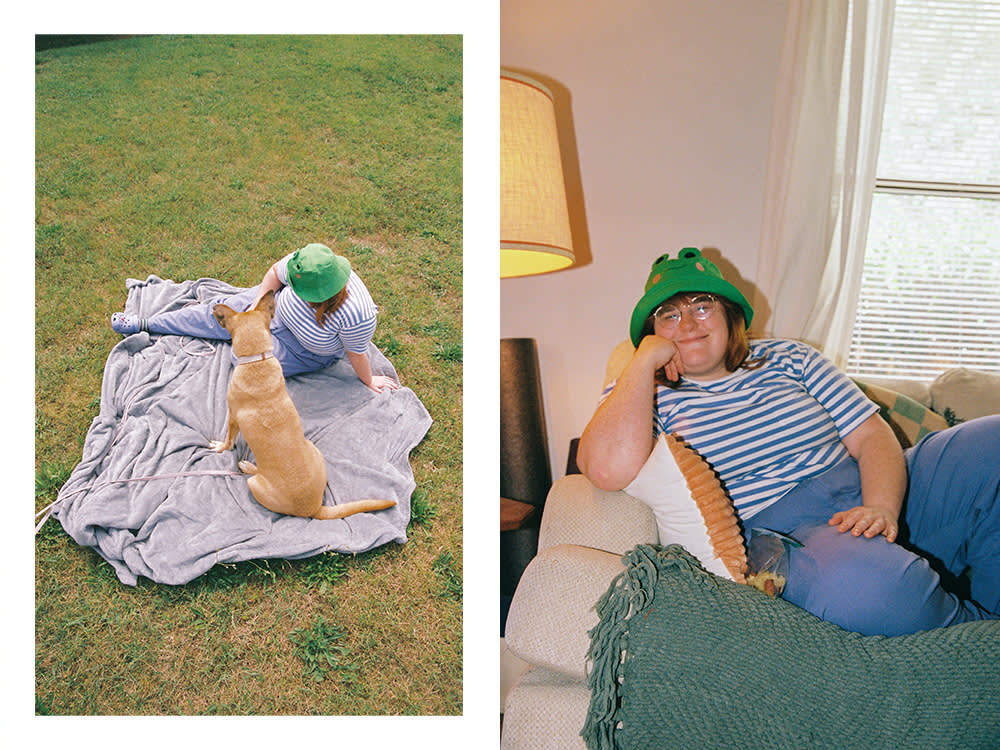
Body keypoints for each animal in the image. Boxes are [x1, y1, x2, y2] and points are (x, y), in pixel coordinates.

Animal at [208, 292, 394, 524]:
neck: (257, 359)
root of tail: (314, 509)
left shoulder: (233, 417)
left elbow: (228, 440)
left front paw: (220, 447)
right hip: (313, 448)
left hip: (254, 484)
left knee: (253, 475)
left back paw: (247, 466)